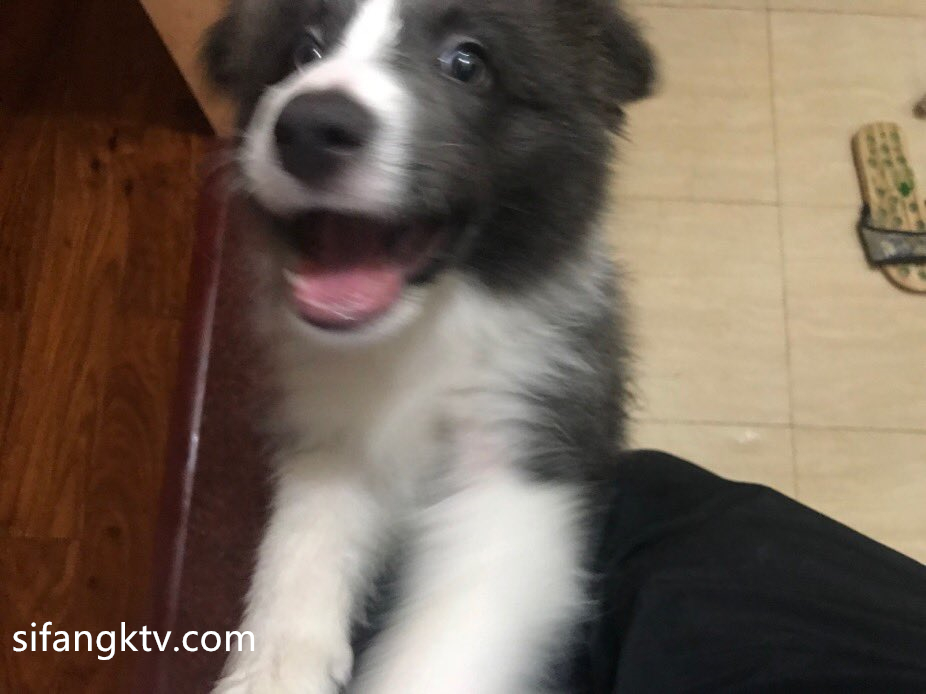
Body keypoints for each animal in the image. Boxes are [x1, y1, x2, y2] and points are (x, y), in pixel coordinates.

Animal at [202, 0, 653, 691]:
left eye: (467, 62)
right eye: (304, 50)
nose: (310, 126)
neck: (423, 334)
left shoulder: (524, 438)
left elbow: (446, 643)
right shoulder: (333, 434)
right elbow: (301, 548)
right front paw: (273, 668)